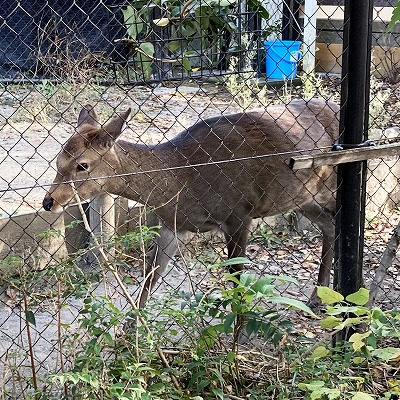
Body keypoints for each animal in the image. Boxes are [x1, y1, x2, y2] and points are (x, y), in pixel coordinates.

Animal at [43, 99, 338, 306]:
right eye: (57, 161)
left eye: (82, 165)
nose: (49, 202)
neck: (182, 181)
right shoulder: (173, 225)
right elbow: (149, 278)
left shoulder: (239, 214)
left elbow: (237, 278)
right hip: (301, 197)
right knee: (330, 225)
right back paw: (319, 296)